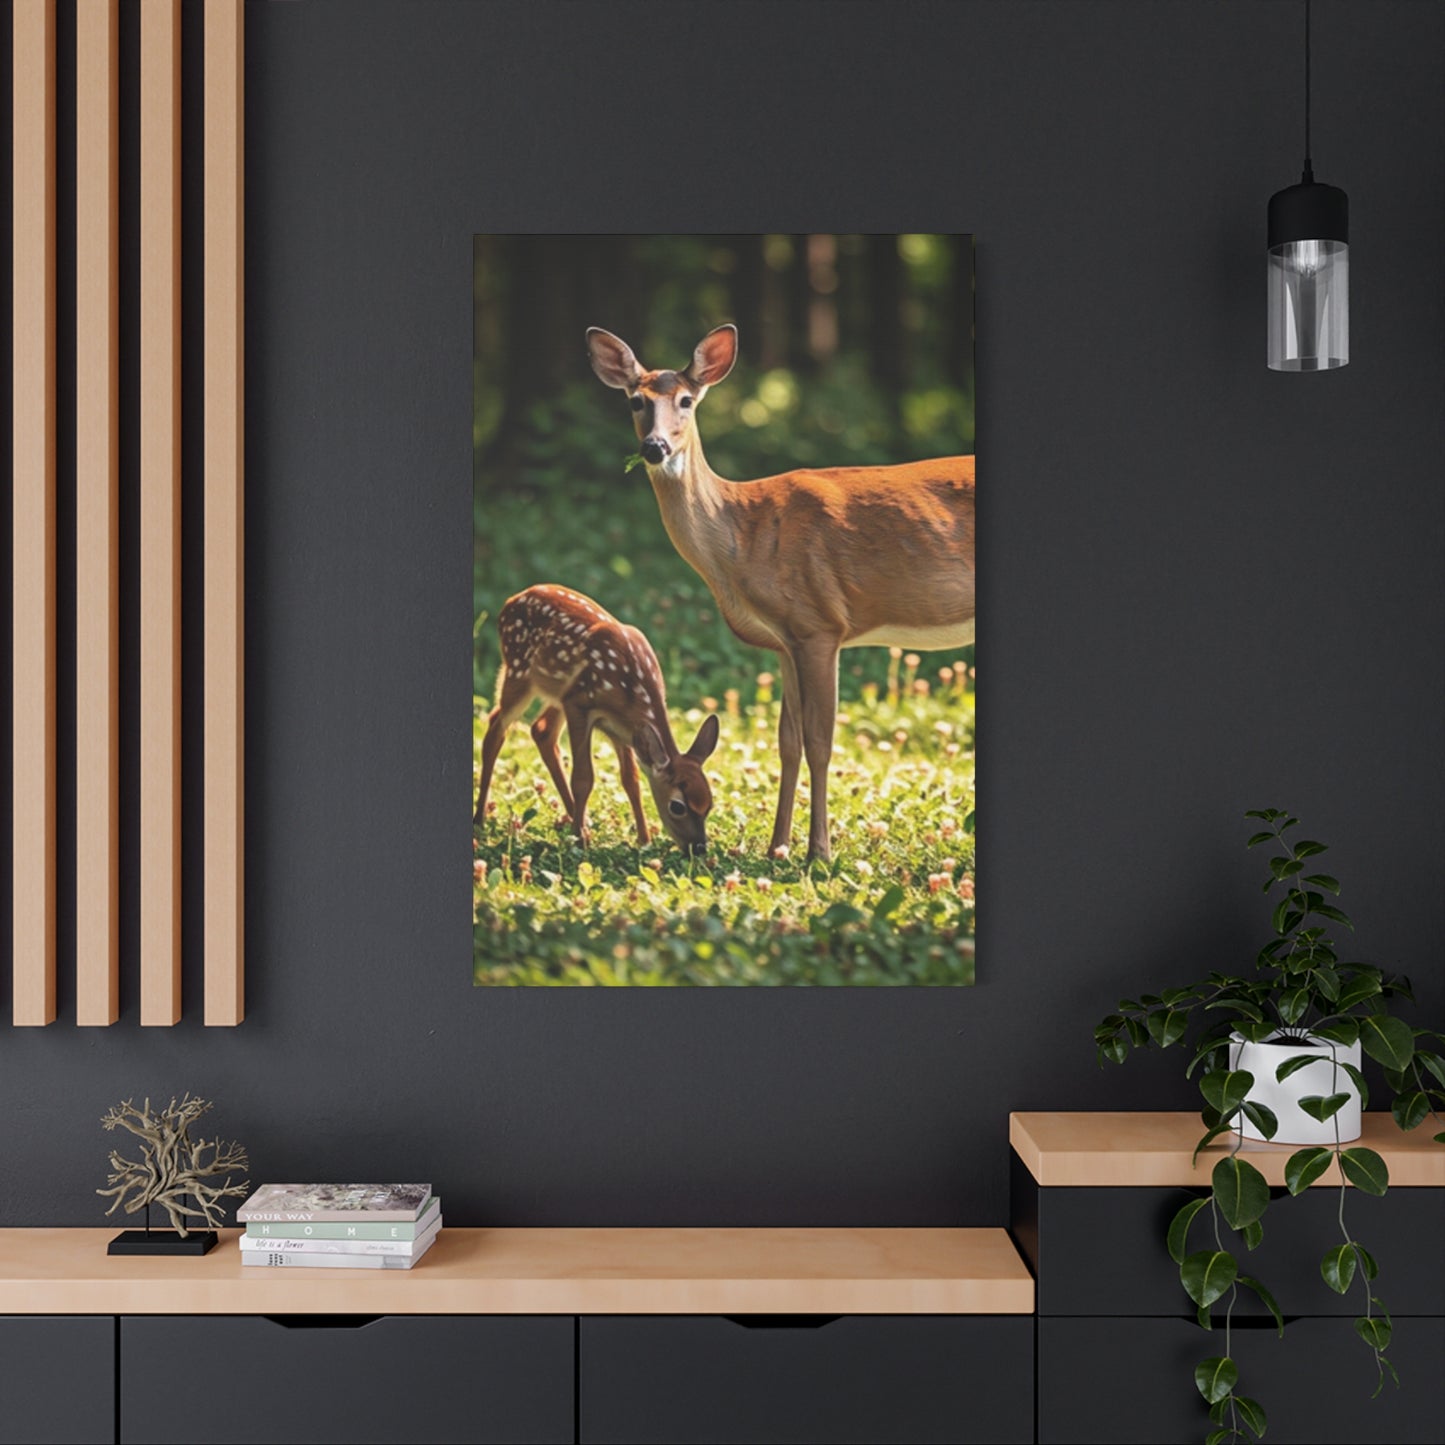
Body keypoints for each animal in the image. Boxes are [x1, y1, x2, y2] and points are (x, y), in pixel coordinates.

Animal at [473, 584, 721, 853]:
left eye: (709, 804)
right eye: (677, 806)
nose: (699, 848)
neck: (631, 690)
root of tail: (512, 599)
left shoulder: (621, 728)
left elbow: (631, 780)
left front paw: (644, 839)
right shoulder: (580, 705)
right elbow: (583, 778)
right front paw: (579, 840)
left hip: (557, 693)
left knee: (541, 730)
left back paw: (579, 819)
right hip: (519, 670)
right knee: (495, 728)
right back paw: (480, 818)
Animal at [586, 322, 974, 863]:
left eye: (686, 400)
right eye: (635, 400)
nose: (655, 447)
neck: (744, 534)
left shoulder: (821, 625)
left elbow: (820, 740)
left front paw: (820, 851)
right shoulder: (785, 641)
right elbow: (787, 741)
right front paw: (777, 847)